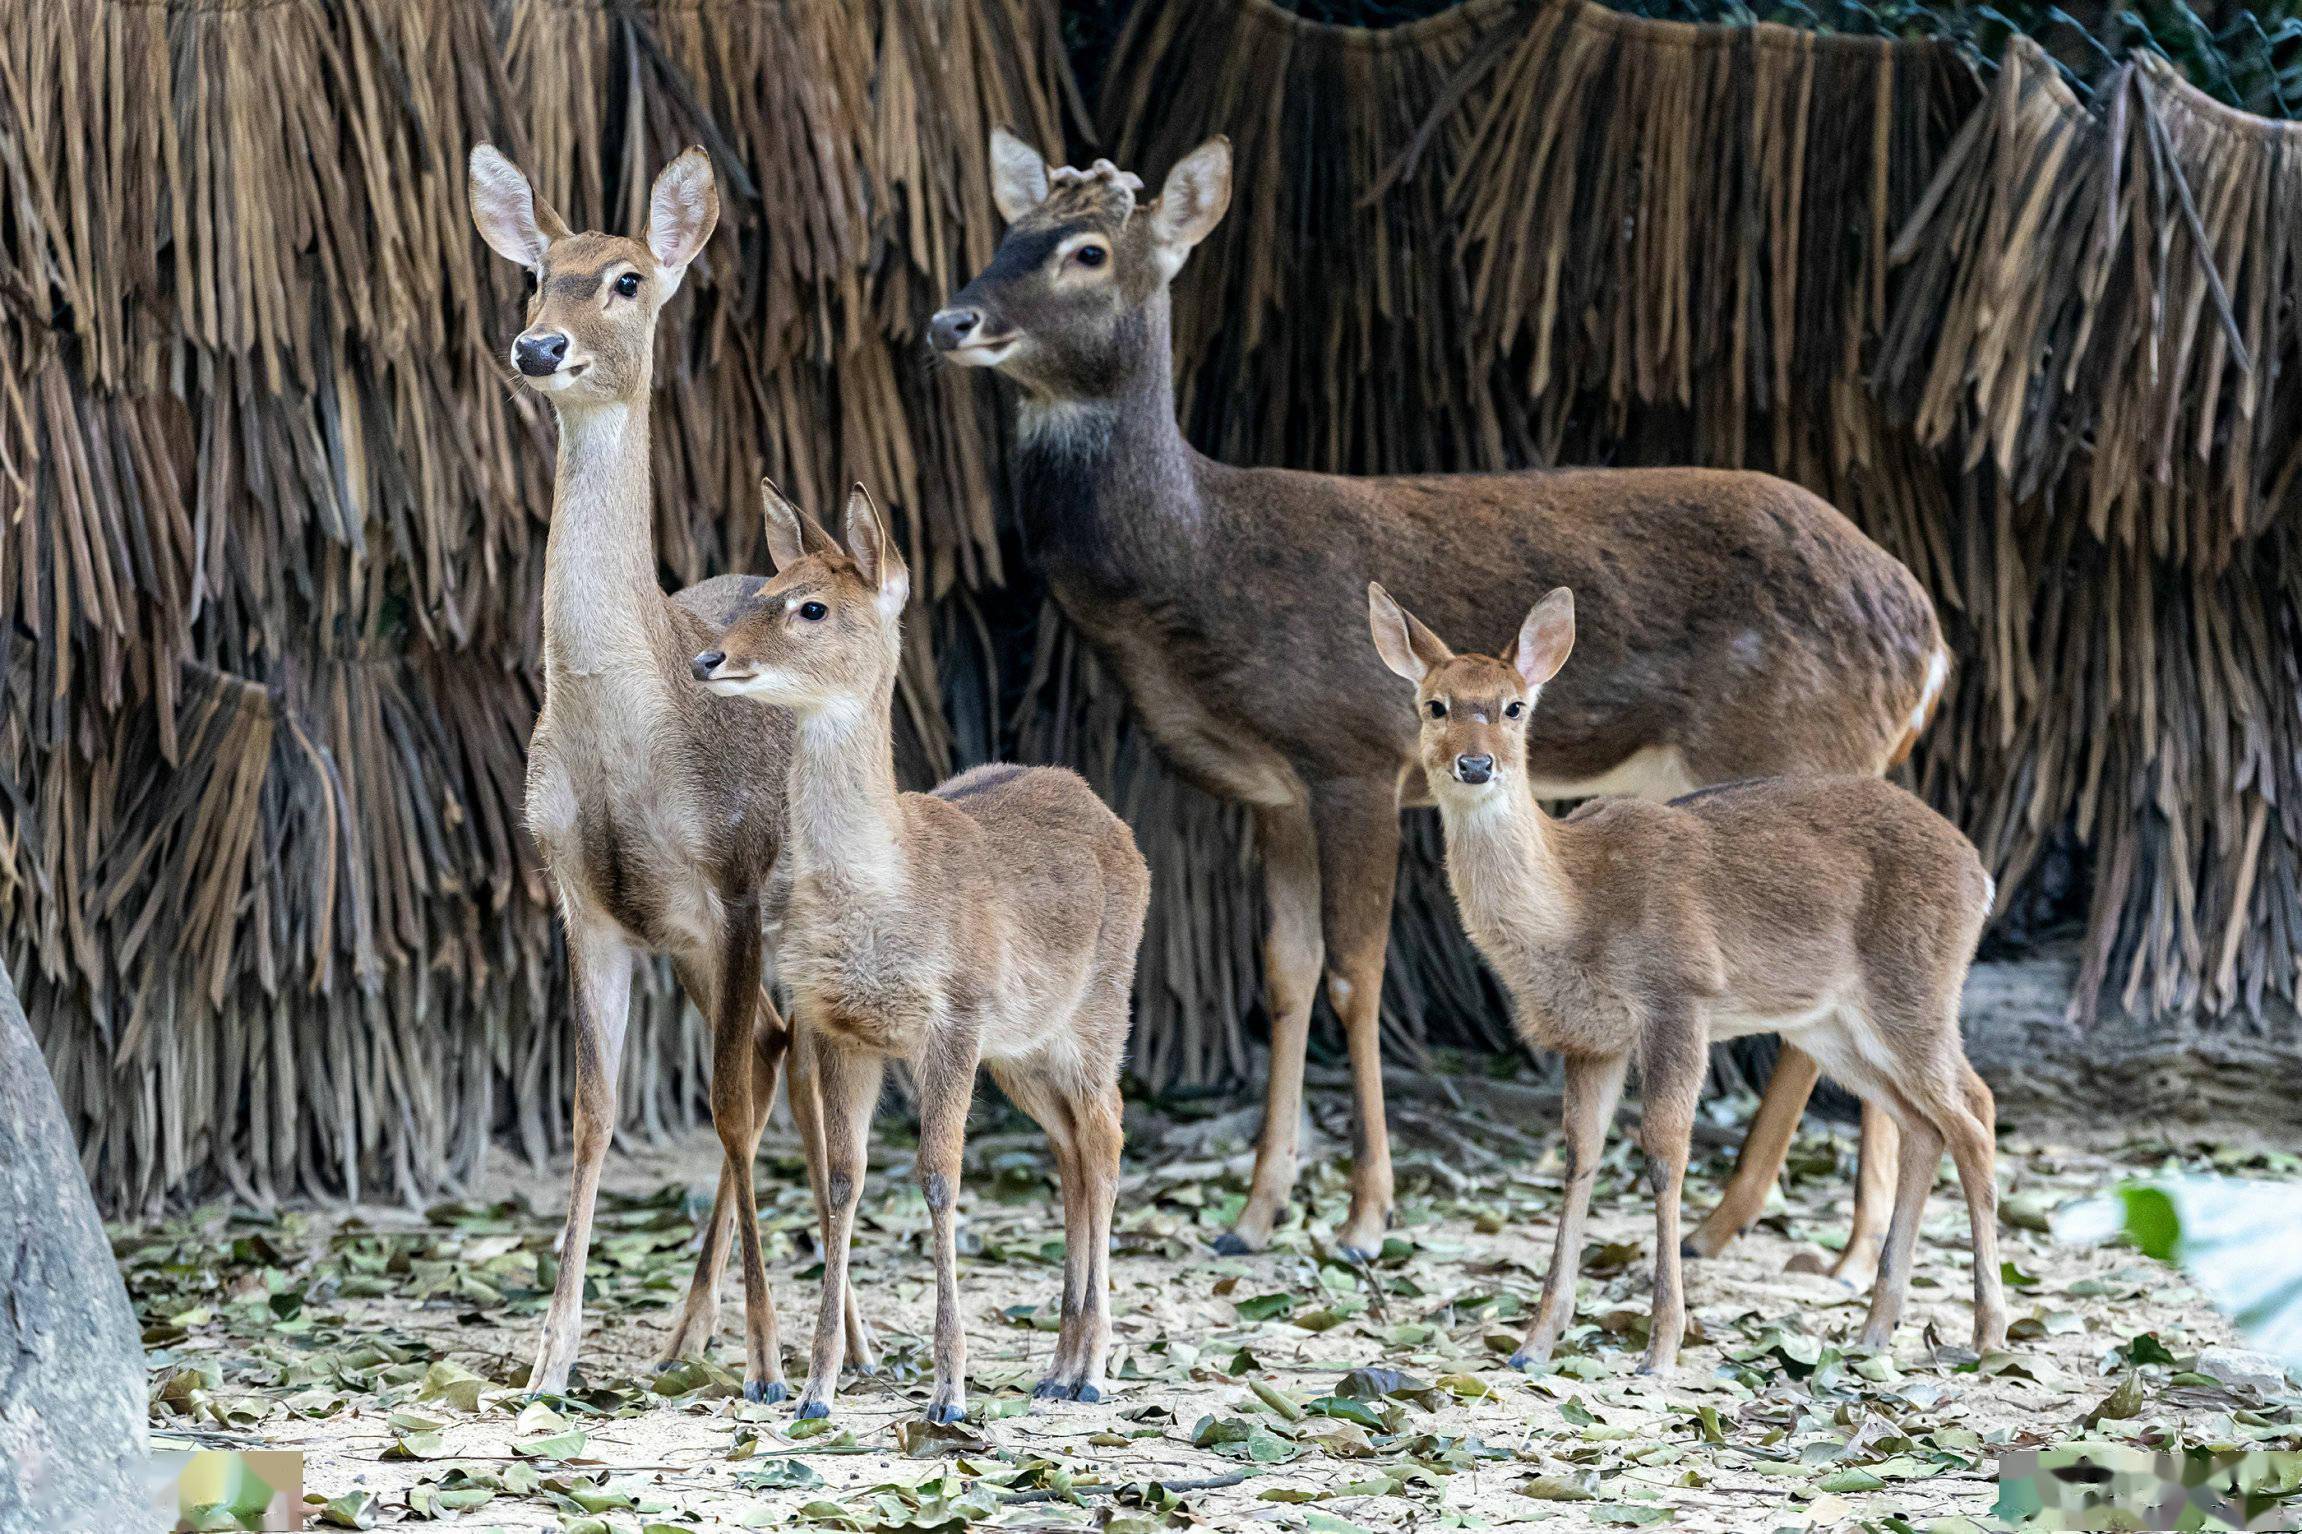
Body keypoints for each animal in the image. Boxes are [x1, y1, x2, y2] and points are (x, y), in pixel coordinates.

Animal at [467, 143, 870, 1400]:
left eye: (629, 278)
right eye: (537, 271)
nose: (538, 345)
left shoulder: (732, 888)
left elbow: (728, 1109)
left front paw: (768, 1359)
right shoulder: (582, 901)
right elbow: (594, 1113)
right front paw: (549, 1359)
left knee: (790, 1074)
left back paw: (827, 1337)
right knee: (782, 1056)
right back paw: (698, 1330)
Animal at [685, 481, 1146, 1418]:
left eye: (811, 606)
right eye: (760, 589)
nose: (708, 660)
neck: (882, 897)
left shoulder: (955, 1019)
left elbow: (939, 1176)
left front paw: (951, 1390)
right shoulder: (835, 1028)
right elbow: (842, 1179)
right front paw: (814, 1389)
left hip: (1098, 1015)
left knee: (1110, 1132)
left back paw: (1091, 1370)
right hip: (1025, 1051)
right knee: (1071, 1147)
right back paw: (1056, 1366)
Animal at [925, 131, 1952, 1280]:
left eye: (1089, 252)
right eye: (1008, 232)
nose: (951, 321)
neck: (1197, 574)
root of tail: (1927, 640)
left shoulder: (1351, 755)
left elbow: (1356, 978)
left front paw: (1366, 1217)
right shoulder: (1274, 792)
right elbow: (1286, 978)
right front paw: (1253, 1214)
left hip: (1791, 740)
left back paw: (1762, 1231)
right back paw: (1839, 1243)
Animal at [1371, 580, 2007, 1363]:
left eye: (1515, 705)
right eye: (1435, 704)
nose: (1475, 764)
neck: (1576, 905)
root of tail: (1982, 877)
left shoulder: (1679, 996)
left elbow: (1664, 1154)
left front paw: (1661, 1347)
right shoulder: (1589, 1037)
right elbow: (1580, 1157)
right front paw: (1536, 1340)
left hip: (1915, 989)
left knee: (1975, 1111)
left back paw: (1988, 1330)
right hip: (1833, 1025)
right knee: (1925, 1124)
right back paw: (1874, 1328)